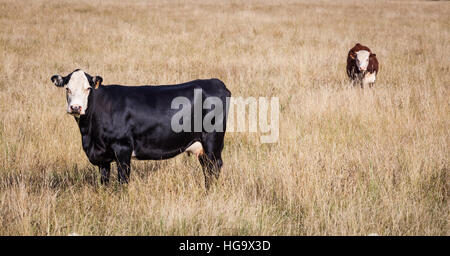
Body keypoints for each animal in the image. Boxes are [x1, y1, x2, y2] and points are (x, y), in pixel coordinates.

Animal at [51, 69, 230, 189]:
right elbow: (104, 181)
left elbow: (123, 180)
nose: (76, 107)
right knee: (207, 169)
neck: (89, 135)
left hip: (212, 140)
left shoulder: (123, 148)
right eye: (67, 88)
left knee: (215, 166)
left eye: (88, 88)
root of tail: (214, 81)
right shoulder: (102, 157)